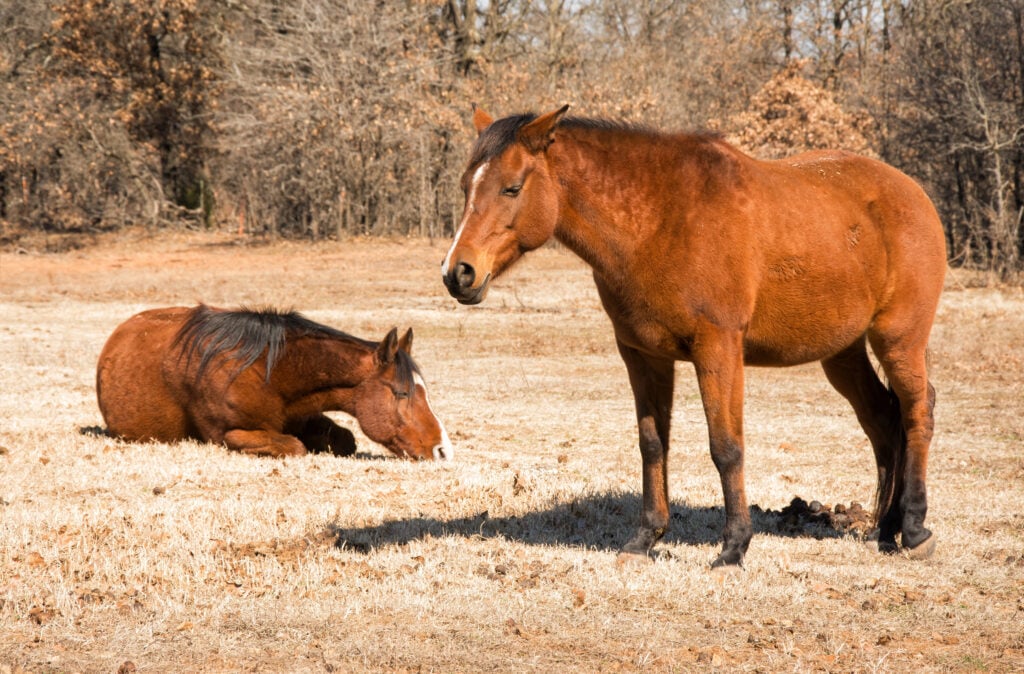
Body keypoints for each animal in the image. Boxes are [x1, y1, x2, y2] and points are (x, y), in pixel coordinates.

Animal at [96, 305, 453, 461]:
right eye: (403, 392)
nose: (443, 449)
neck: (271, 373)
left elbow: (345, 440)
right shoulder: (230, 435)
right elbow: (295, 446)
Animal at [442, 105, 945, 567]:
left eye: (512, 187)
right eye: (467, 187)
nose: (457, 273)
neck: (661, 220)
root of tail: (913, 193)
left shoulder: (718, 349)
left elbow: (725, 446)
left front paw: (734, 547)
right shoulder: (642, 355)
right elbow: (652, 445)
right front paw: (644, 540)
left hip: (899, 339)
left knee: (918, 410)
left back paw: (915, 529)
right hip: (843, 352)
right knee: (883, 420)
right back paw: (884, 531)